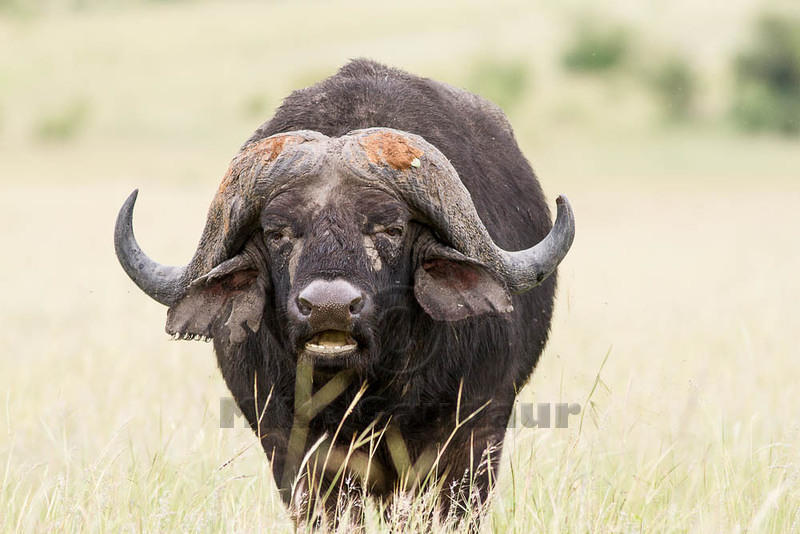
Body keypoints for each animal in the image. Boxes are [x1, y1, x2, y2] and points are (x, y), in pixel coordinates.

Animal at [114, 58, 576, 528]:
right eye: (277, 232)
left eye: (391, 228)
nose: (329, 308)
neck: (370, 392)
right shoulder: (294, 450)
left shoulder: (475, 433)